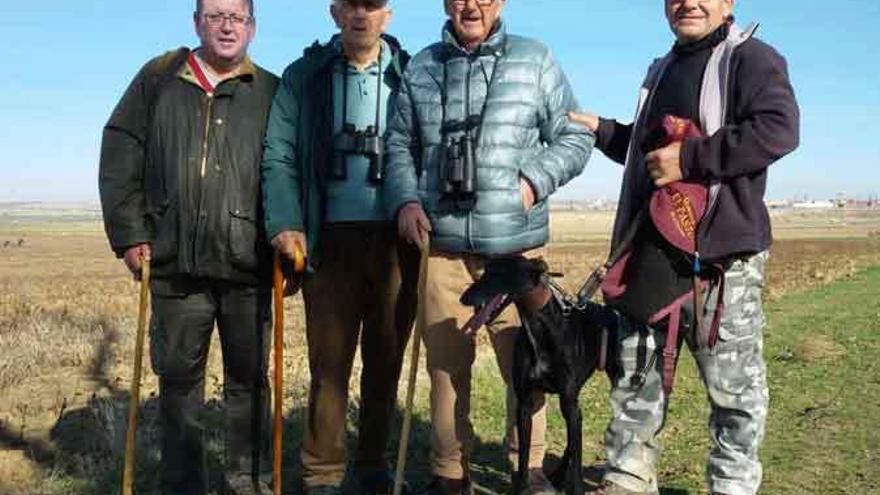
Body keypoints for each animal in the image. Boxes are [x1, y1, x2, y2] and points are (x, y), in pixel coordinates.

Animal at [460, 256, 620, 495]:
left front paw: (576, 487)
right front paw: (521, 488)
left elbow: (577, 455)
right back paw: (558, 475)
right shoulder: (525, 403)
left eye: (501, 272)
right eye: (486, 270)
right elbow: (524, 455)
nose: (464, 298)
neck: (539, 328)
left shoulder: (568, 400)